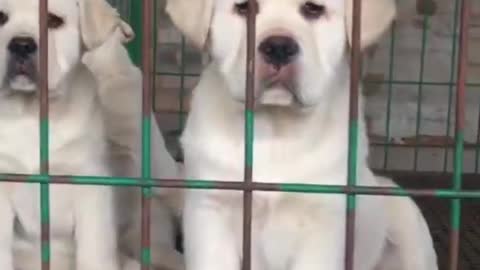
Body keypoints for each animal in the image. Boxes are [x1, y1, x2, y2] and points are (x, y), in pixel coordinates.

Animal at [166, 0, 438, 268]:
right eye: (244, 8)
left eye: (313, 9)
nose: (278, 47)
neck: (276, 132)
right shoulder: (211, 208)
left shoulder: (324, 221)